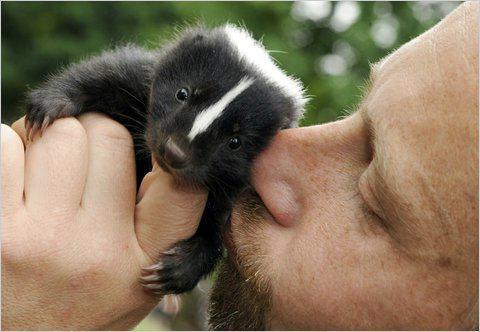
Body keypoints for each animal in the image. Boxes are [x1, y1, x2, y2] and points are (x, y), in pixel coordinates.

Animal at [24, 24, 306, 296]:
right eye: (182, 93)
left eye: (235, 142)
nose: (174, 151)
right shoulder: (138, 79)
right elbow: (103, 74)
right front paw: (52, 103)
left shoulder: (230, 191)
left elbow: (214, 234)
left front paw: (177, 268)